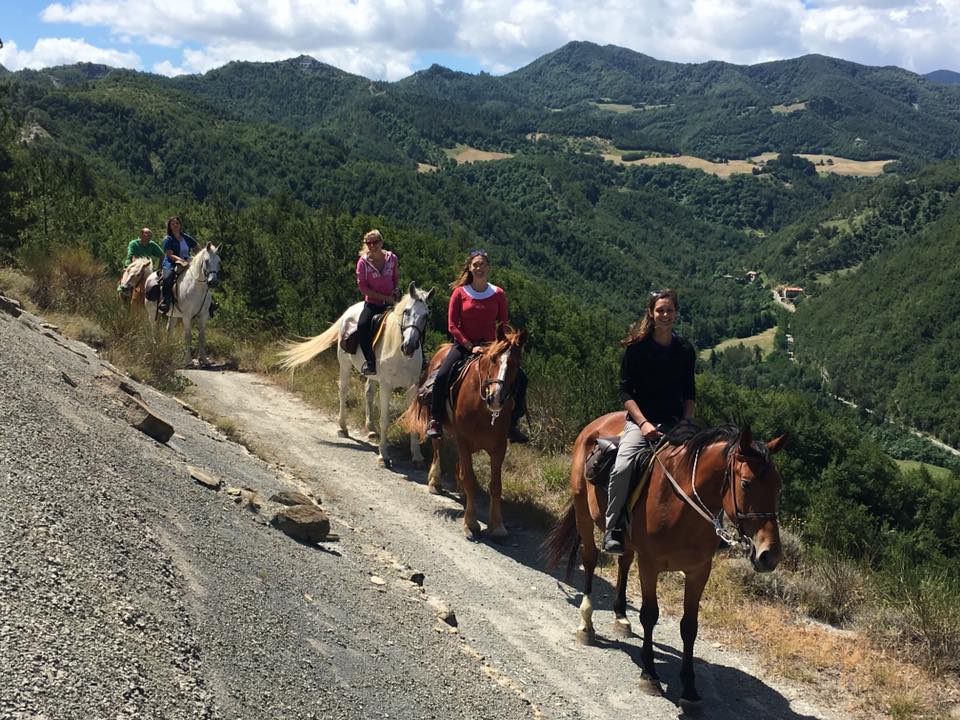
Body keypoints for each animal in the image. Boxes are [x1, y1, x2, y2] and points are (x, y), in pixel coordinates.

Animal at [280, 282, 434, 466]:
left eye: (426, 316)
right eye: (407, 311)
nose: (409, 346)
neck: (399, 351)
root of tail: (349, 311)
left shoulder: (412, 386)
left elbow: (413, 419)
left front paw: (417, 456)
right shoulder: (386, 385)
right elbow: (384, 420)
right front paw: (383, 455)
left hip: (372, 375)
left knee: (368, 393)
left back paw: (371, 429)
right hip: (345, 364)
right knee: (343, 390)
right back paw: (343, 427)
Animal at [402, 330, 528, 536]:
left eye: (516, 364)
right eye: (493, 359)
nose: (496, 398)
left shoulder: (499, 447)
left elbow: (495, 485)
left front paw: (497, 525)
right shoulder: (464, 441)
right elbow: (470, 479)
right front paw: (471, 523)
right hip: (440, 426)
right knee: (438, 448)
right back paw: (435, 482)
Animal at [544, 414, 784, 712]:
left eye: (778, 486)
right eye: (746, 484)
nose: (769, 555)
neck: (681, 504)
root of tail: (598, 423)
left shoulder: (698, 571)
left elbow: (689, 627)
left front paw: (690, 689)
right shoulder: (651, 564)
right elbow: (650, 614)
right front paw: (649, 674)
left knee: (624, 562)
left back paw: (621, 617)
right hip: (583, 513)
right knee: (589, 559)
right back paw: (586, 624)